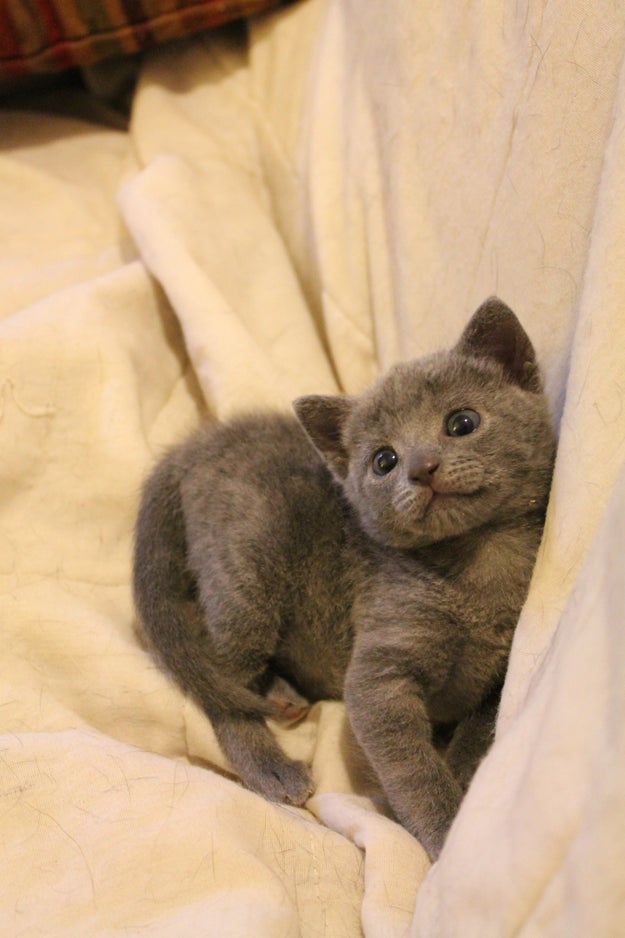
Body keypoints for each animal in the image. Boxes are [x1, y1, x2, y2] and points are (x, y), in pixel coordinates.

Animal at [134, 298, 552, 856]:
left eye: (462, 422)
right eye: (384, 460)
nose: (422, 467)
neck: (477, 560)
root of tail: (196, 444)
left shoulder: (503, 670)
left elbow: (479, 730)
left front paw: (464, 779)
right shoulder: (378, 675)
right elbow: (411, 768)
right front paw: (445, 829)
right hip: (247, 574)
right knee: (221, 686)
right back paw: (272, 768)